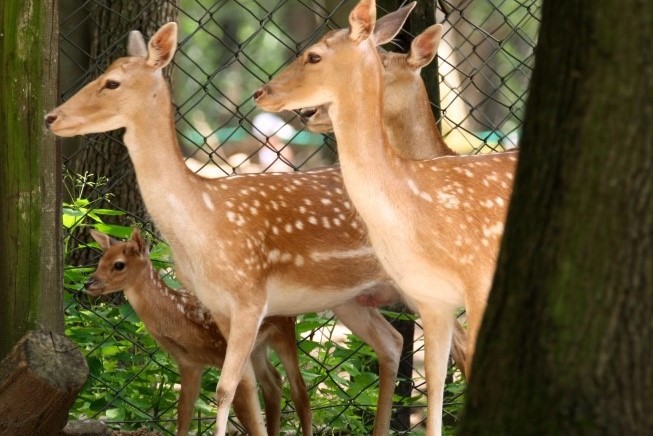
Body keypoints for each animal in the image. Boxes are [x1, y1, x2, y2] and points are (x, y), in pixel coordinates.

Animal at [86, 228, 310, 436]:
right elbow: (183, 414)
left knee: (299, 389)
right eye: (100, 260)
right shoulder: (188, 363)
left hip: (284, 330)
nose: (88, 283)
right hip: (257, 348)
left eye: (119, 264)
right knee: (274, 383)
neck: (184, 318)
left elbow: (248, 416)